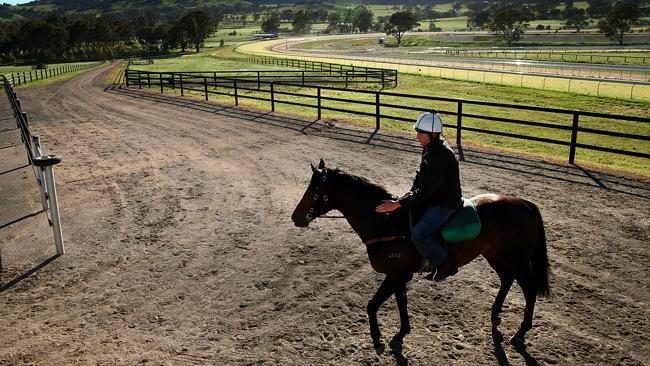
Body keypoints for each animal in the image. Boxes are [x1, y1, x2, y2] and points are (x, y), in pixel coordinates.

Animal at [288, 159, 548, 354]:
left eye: (313, 191)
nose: (295, 217)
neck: (386, 223)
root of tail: (523, 203)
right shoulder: (399, 275)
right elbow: (400, 302)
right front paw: (402, 332)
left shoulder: (395, 275)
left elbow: (372, 305)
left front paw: (377, 340)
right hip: (494, 254)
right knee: (506, 279)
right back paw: (495, 315)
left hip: (517, 259)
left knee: (529, 289)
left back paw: (521, 332)